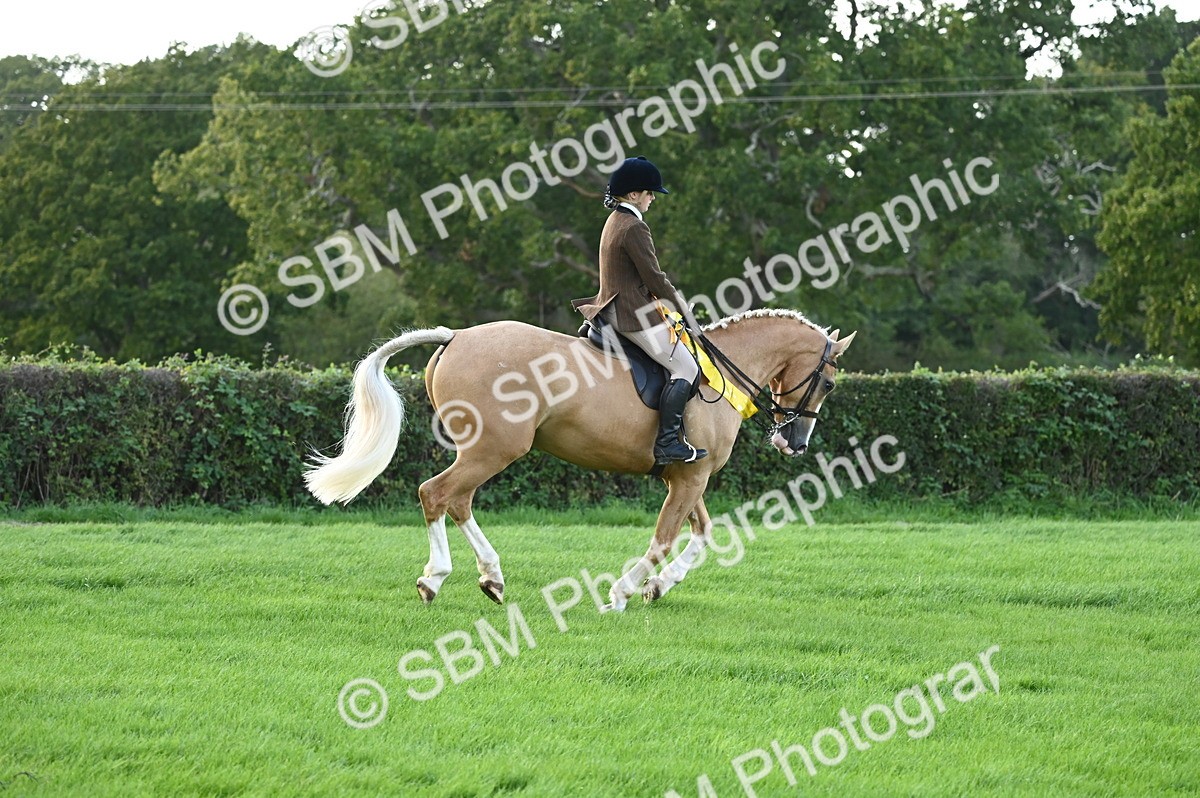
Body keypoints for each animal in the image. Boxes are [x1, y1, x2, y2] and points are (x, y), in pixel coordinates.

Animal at [304, 309, 856, 611]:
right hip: (495, 448)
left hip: (483, 451)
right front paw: (622, 592)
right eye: (829, 383)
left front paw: (659, 587)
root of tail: (455, 335)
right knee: (436, 494)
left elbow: (702, 533)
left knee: (457, 501)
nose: (795, 443)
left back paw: (491, 578)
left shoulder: (685, 477)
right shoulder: (690, 478)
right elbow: (664, 539)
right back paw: (435, 578)